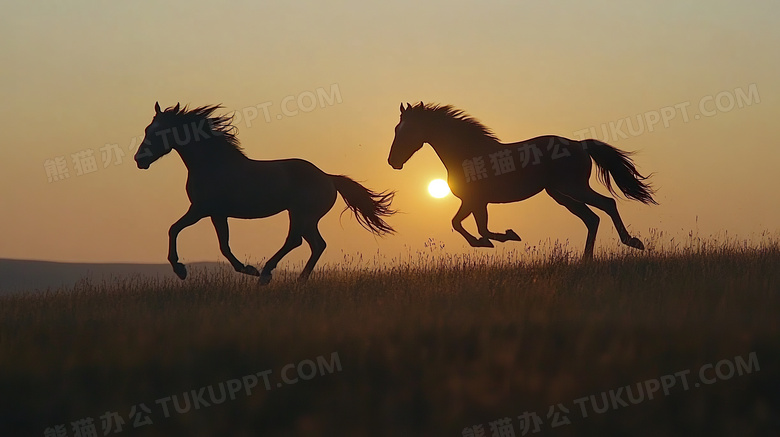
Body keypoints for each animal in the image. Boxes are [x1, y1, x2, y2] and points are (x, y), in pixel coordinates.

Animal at [134, 102, 396, 282]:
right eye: (147, 129)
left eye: (157, 132)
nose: (139, 160)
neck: (213, 164)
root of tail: (328, 178)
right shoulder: (217, 213)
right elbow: (223, 245)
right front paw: (246, 269)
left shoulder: (200, 209)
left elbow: (174, 229)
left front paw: (180, 270)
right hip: (307, 218)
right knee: (316, 244)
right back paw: (298, 280)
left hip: (301, 214)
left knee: (296, 241)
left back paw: (267, 274)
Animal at [386, 102, 656, 258]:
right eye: (396, 130)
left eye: (408, 130)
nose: (393, 162)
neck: (467, 154)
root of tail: (580, 144)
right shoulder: (475, 202)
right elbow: (467, 225)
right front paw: (490, 240)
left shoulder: (475, 201)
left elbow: (468, 225)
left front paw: (502, 237)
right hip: (561, 194)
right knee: (592, 218)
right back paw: (586, 260)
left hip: (573, 188)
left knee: (607, 204)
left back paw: (632, 242)